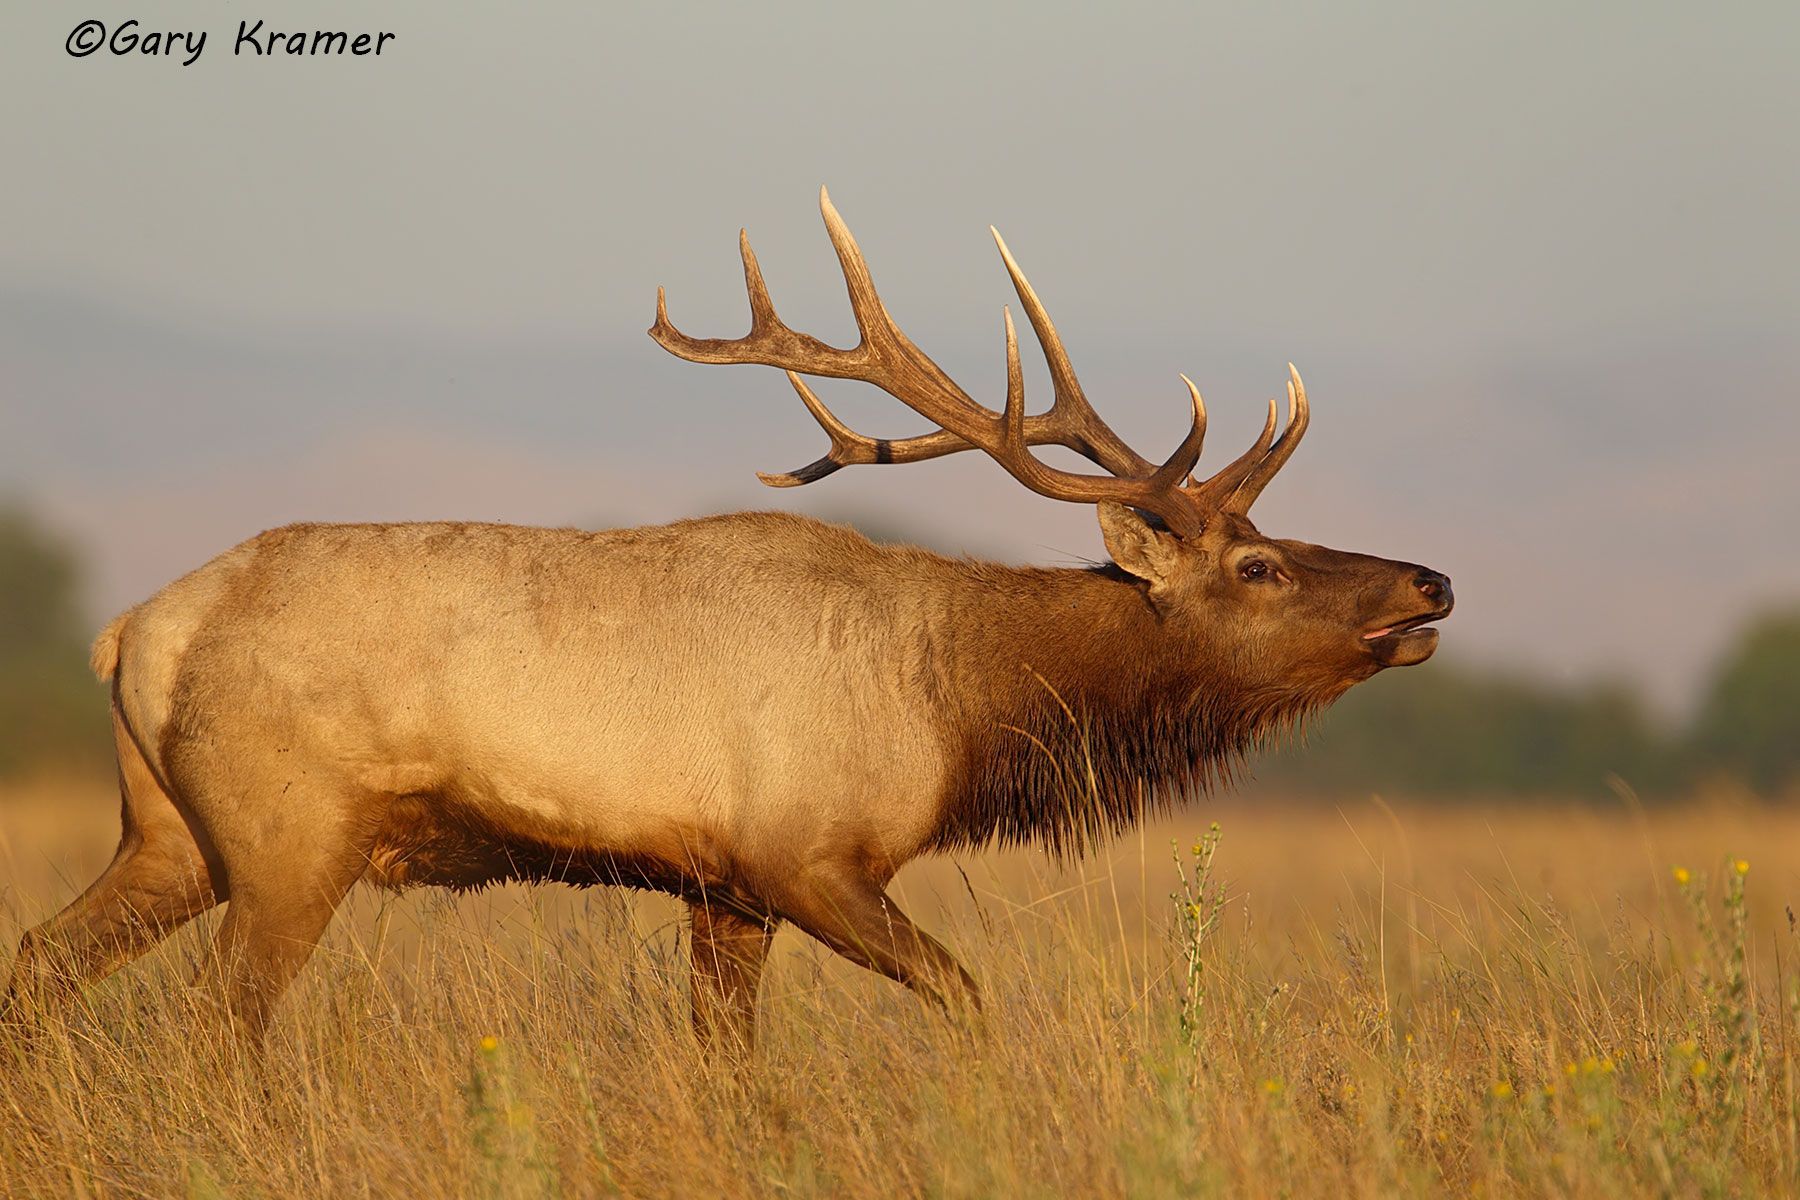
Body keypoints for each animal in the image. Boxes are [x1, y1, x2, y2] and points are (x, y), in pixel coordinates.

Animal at [2, 188, 1451, 1052]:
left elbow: (723, 1061)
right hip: (289, 838)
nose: (1430, 586)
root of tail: (133, 632)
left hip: (172, 837)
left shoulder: (723, 885)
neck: (959, 706)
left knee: (38, 959)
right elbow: (968, 1000)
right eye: (1258, 566)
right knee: (215, 1027)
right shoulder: (806, 854)